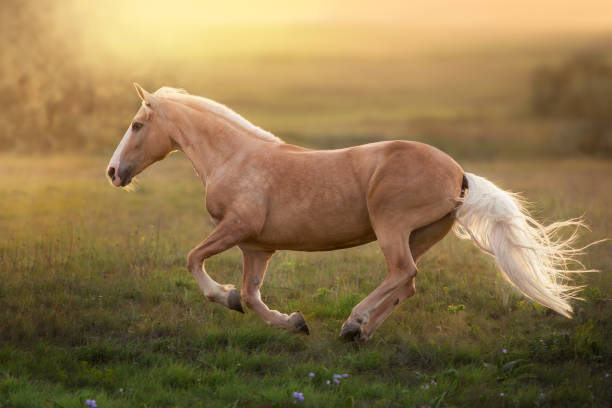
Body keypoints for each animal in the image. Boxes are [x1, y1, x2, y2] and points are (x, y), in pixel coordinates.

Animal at [107, 83, 592, 342]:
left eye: (136, 125)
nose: (113, 172)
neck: (236, 158)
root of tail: (459, 174)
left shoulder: (236, 228)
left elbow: (194, 260)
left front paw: (223, 297)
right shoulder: (257, 247)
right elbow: (251, 294)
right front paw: (293, 322)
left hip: (391, 225)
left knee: (401, 273)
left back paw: (355, 321)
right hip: (421, 235)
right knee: (407, 282)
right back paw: (358, 331)